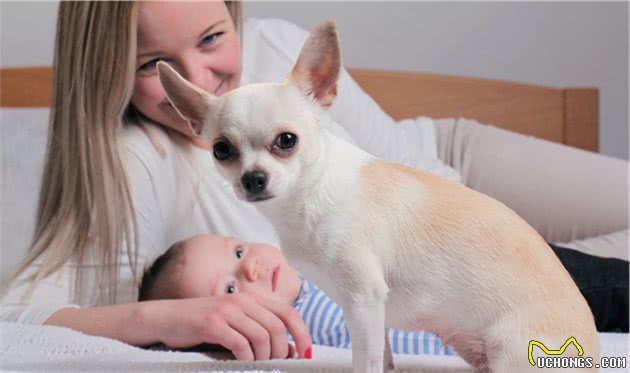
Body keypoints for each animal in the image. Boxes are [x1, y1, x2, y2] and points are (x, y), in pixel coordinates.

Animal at [158, 21, 604, 370]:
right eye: (221, 150)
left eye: (287, 141)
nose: (253, 178)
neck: (306, 201)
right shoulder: (370, 309)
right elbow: (383, 357)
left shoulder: (363, 298)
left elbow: (366, 361)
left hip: (511, 351)